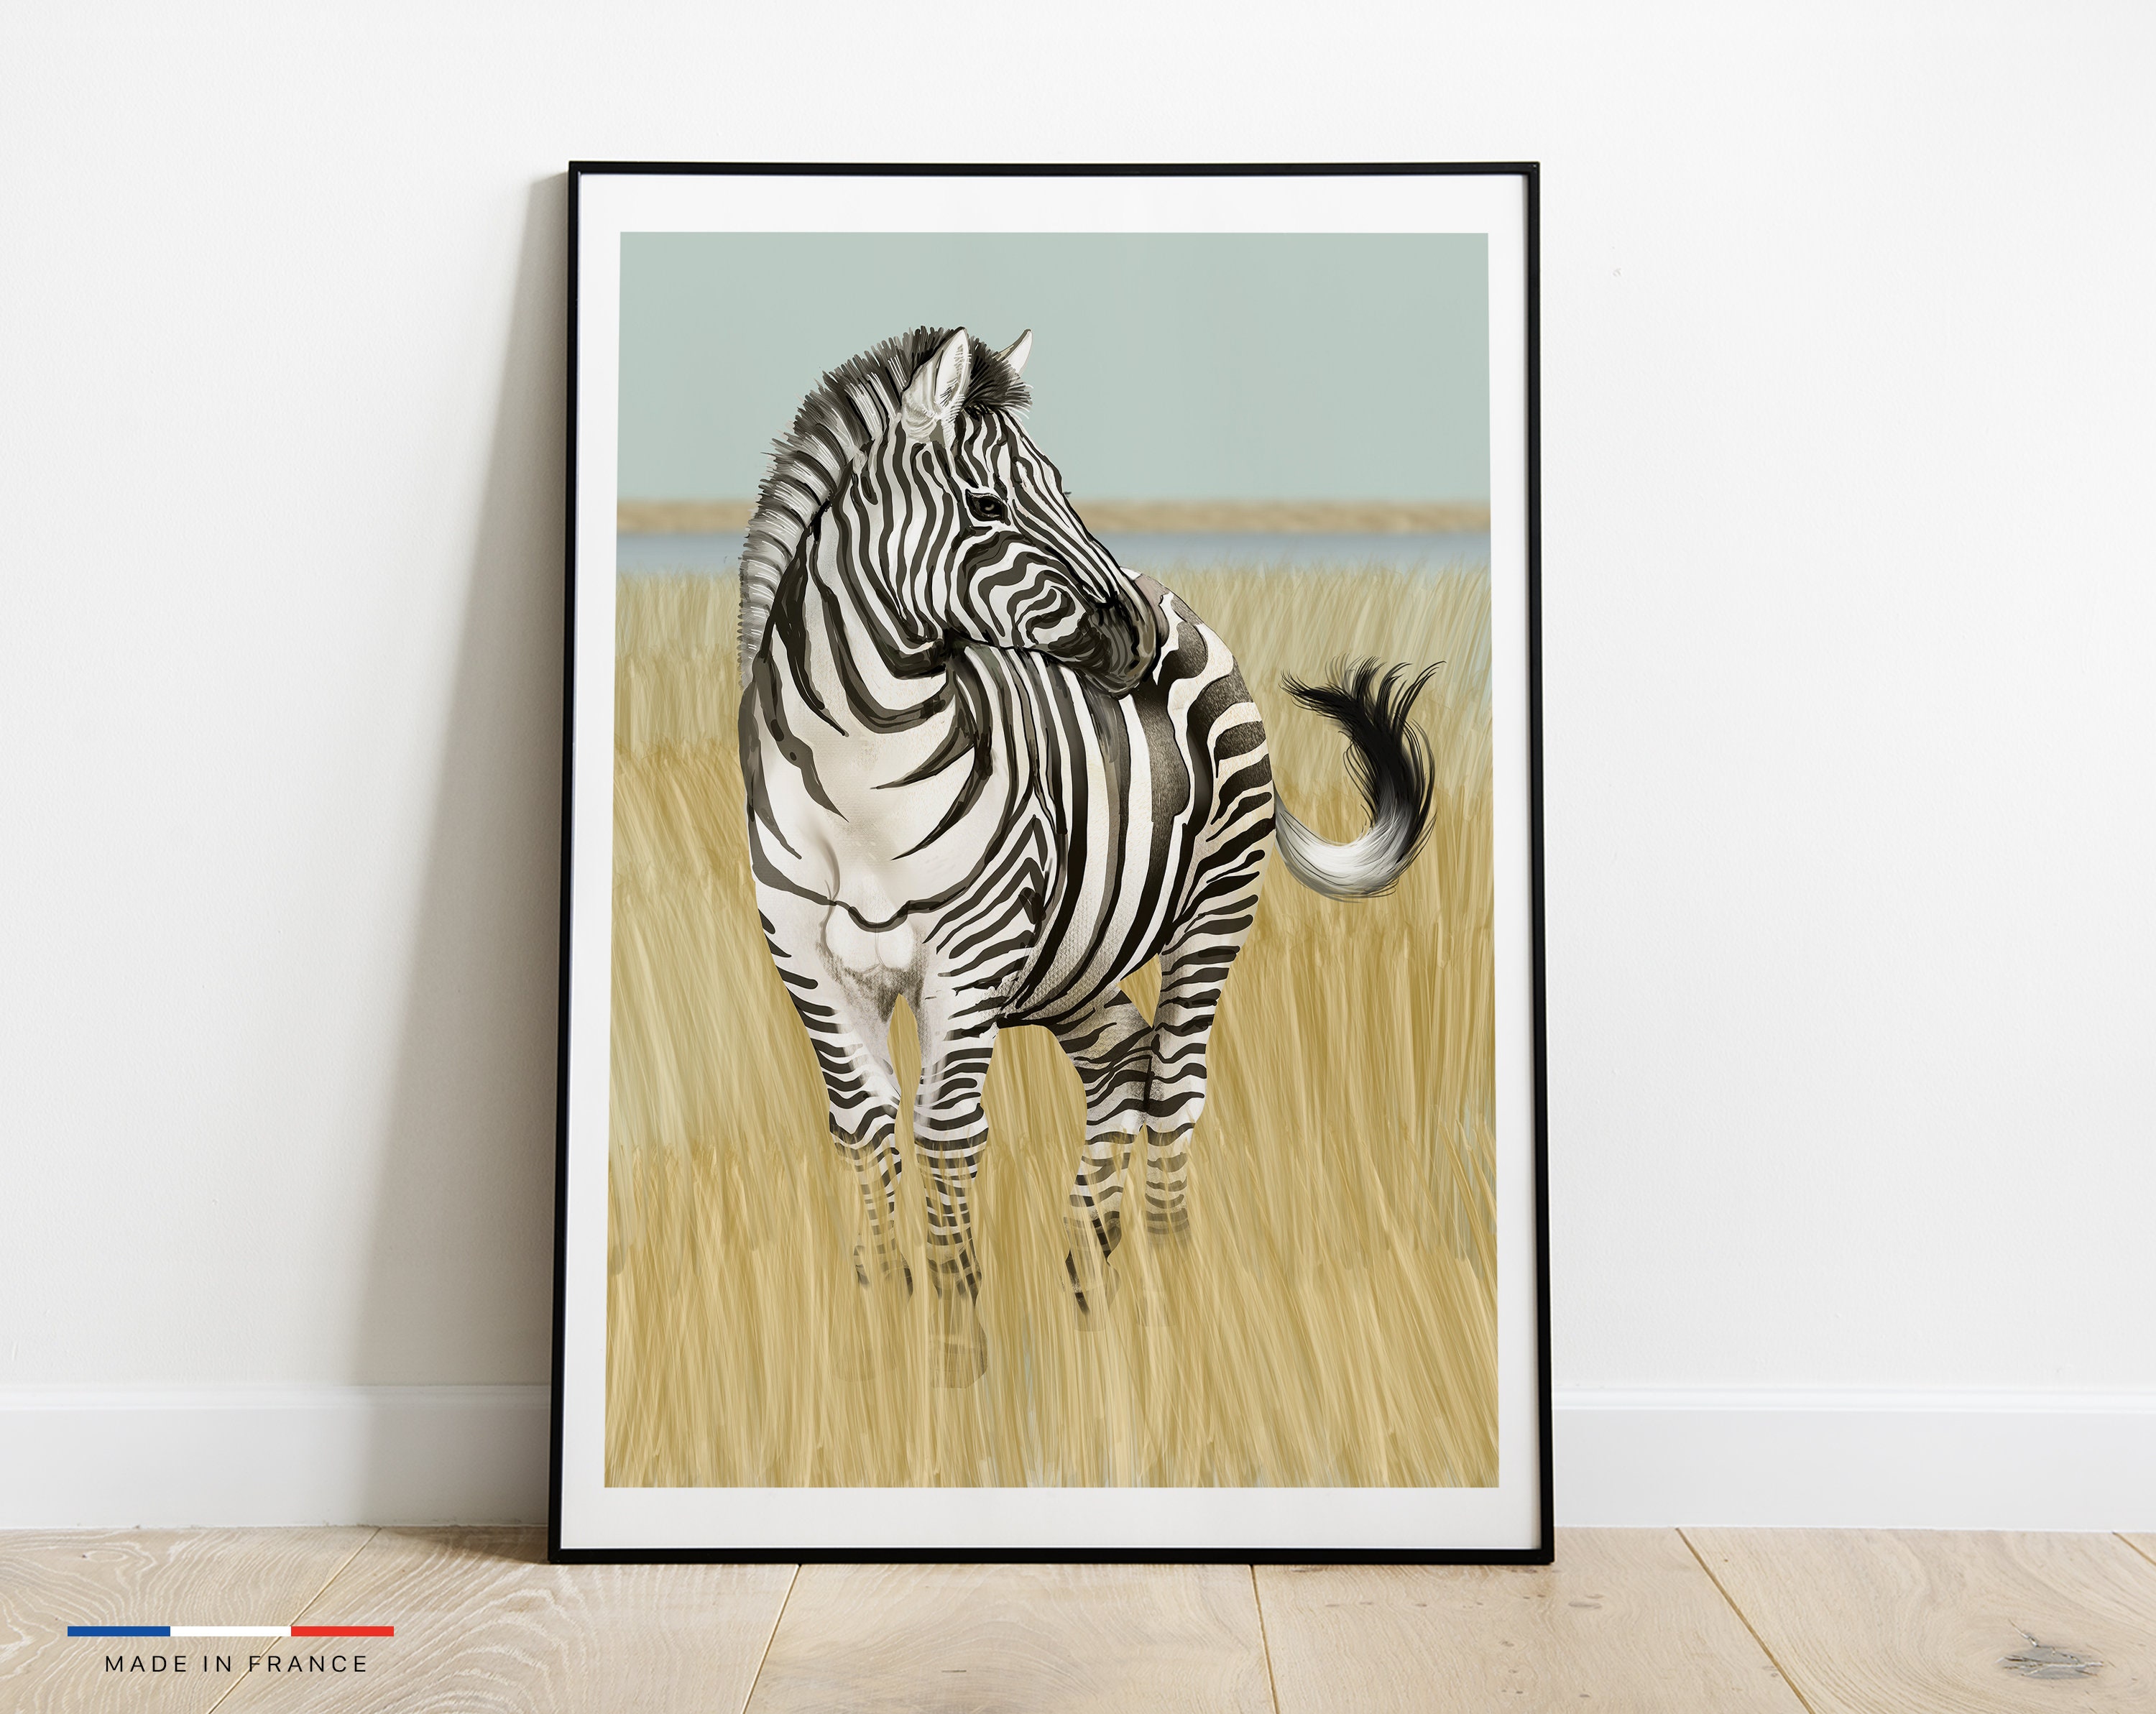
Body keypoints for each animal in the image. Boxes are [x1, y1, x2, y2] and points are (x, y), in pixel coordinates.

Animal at [737, 326, 1437, 1383]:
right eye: (986, 506)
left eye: (1060, 485)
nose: (1134, 636)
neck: (862, 767)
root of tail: (1183, 605)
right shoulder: (807, 962)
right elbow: (864, 1127)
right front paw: (882, 1347)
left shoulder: (969, 959)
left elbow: (948, 1131)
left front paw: (958, 1365)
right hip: (1070, 957)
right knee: (1123, 1064)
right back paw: (1086, 1288)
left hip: (1211, 911)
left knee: (1175, 1084)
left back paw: (1173, 1296)